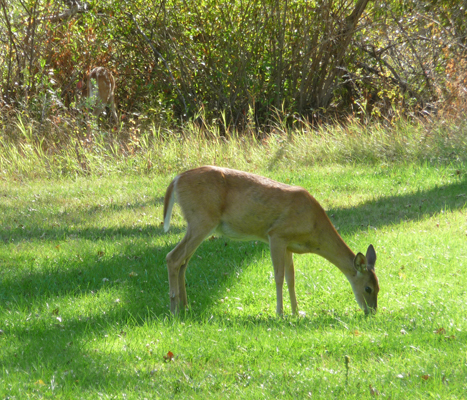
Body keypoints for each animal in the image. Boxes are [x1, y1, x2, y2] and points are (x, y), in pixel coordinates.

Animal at [165, 165, 380, 316]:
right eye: (368, 288)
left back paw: (186, 307)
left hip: (196, 224)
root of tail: (176, 180)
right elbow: (278, 276)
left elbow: (291, 278)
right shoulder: (276, 235)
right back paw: (174, 309)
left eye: (379, 287)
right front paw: (280, 313)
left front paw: (296, 312)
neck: (313, 228)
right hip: (202, 220)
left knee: (183, 262)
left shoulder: (289, 245)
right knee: (172, 257)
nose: (372, 312)